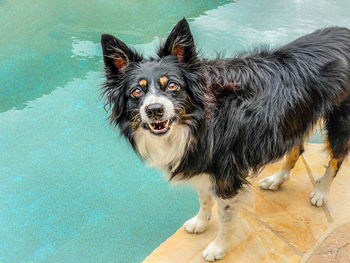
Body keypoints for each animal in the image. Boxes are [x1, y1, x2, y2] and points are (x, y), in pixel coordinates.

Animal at [101, 18, 350, 262]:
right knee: (297, 149)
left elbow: (225, 219)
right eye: (136, 92)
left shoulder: (227, 175)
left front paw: (218, 248)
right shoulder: (203, 163)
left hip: (340, 119)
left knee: (336, 159)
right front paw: (200, 223)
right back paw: (276, 180)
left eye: (172, 85)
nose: (154, 110)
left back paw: (321, 193)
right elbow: (203, 198)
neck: (199, 121)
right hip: (294, 118)